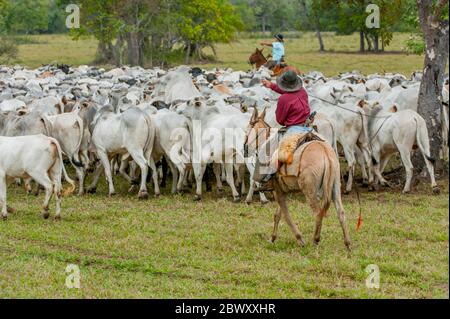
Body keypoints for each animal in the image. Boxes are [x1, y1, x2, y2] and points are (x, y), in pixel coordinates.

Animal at [244, 109, 350, 251]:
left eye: (247, 130)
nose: (244, 149)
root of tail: (325, 154)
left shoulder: (278, 191)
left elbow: (285, 215)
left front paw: (300, 239)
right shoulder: (282, 191)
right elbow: (278, 214)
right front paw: (272, 238)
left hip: (310, 191)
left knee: (318, 213)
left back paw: (315, 241)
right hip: (335, 188)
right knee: (341, 212)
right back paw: (347, 244)